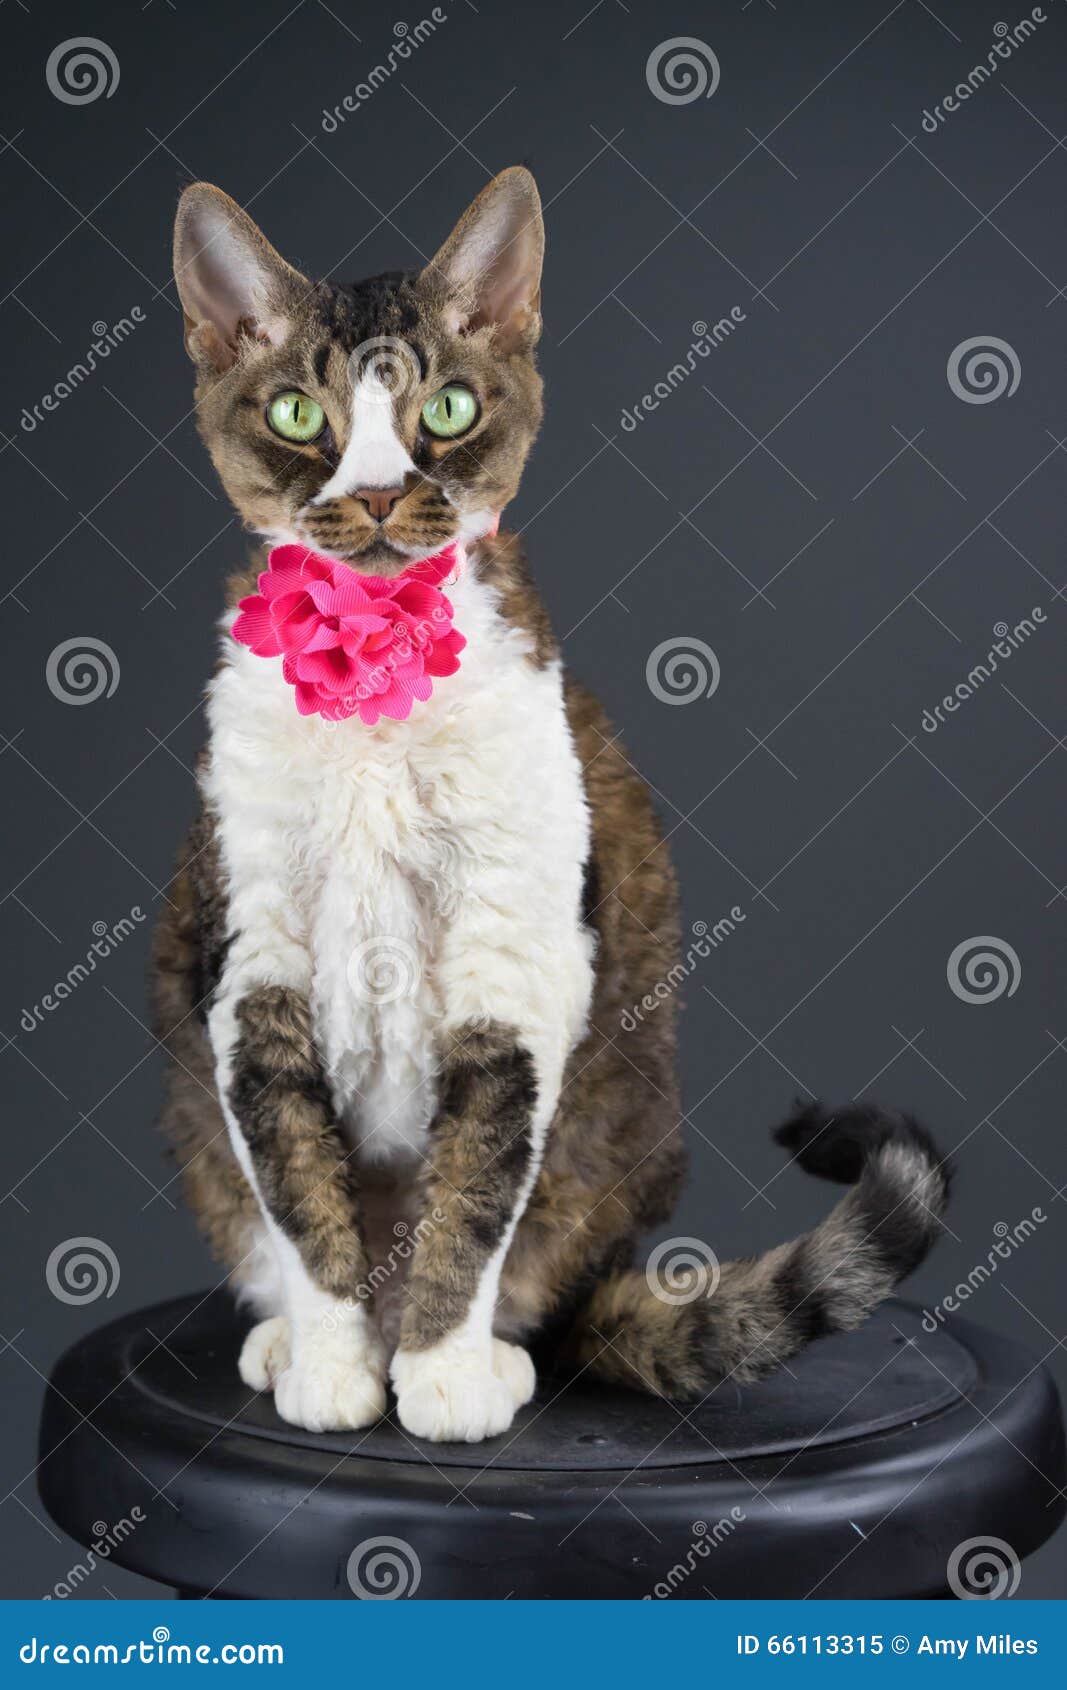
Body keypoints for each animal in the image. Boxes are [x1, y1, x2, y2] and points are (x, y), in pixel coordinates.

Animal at [154, 168, 946, 1439]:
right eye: (295, 415)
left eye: (446, 407)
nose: (380, 495)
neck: (377, 686)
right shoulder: (250, 966)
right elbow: (296, 1183)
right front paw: (335, 1365)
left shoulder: (513, 957)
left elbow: (476, 1186)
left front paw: (439, 1374)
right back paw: (293, 1340)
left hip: (622, 1138)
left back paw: (490, 1351)